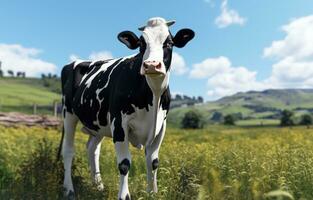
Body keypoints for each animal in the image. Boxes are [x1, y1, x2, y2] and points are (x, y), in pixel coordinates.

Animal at [59, 16, 194, 198]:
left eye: (169, 43)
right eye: (141, 44)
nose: (151, 65)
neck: (153, 95)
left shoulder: (161, 126)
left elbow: (153, 161)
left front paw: (152, 193)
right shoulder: (119, 123)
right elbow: (124, 164)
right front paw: (124, 196)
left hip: (97, 123)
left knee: (92, 149)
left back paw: (98, 185)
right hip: (68, 114)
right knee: (68, 151)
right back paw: (69, 190)